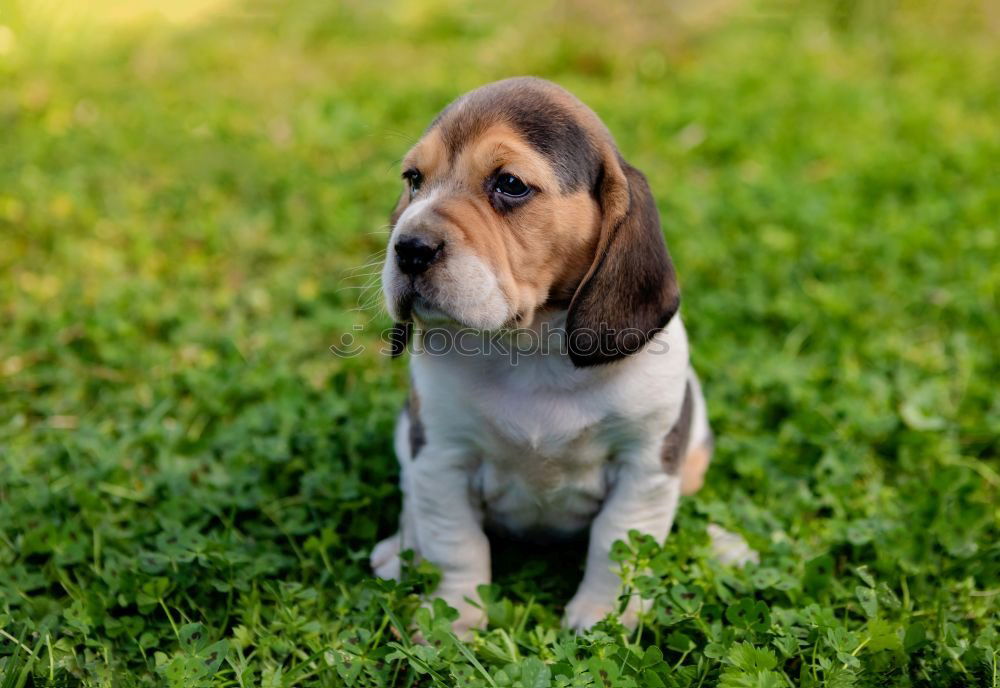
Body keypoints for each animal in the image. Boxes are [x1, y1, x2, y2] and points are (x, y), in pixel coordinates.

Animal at [372, 79, 716, 636]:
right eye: (414, 180)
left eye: (510, 184)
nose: (409, 247)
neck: (530, 350)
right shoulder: (442, 456)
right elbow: (455, 543)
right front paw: (454, 619)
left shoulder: (644, 465)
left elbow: (617, 545)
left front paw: (602, 617)